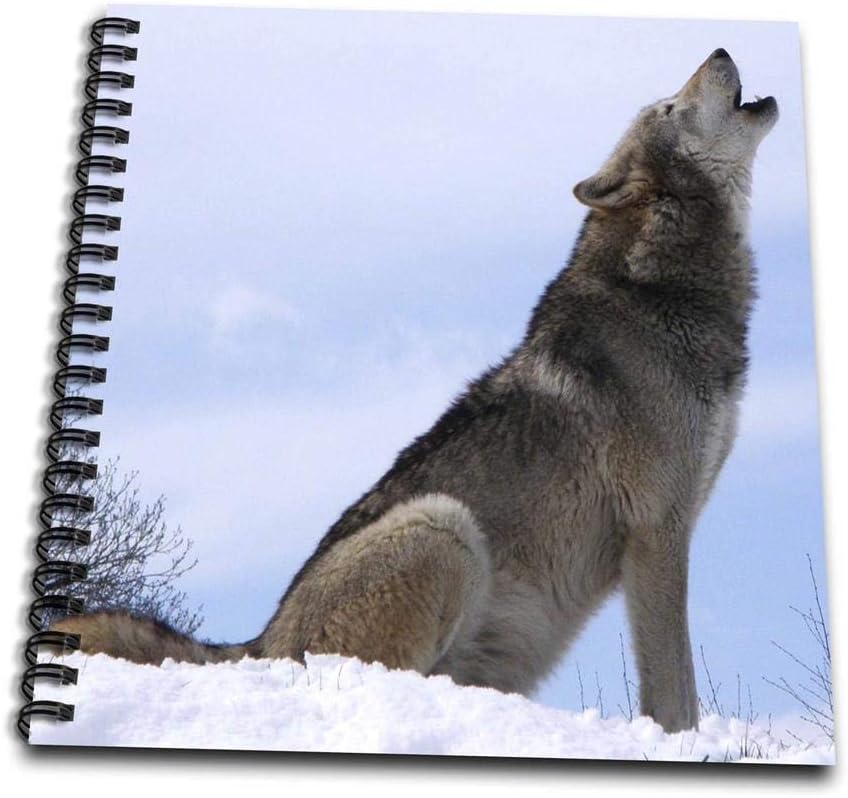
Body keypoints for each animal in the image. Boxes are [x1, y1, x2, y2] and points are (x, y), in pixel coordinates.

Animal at [52, 50, 777, 733]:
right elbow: (675, 690)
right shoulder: (657, 530)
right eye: (668, 107)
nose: (720, 48)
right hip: (443, 525)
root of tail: (257, 646)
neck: (660, 289)